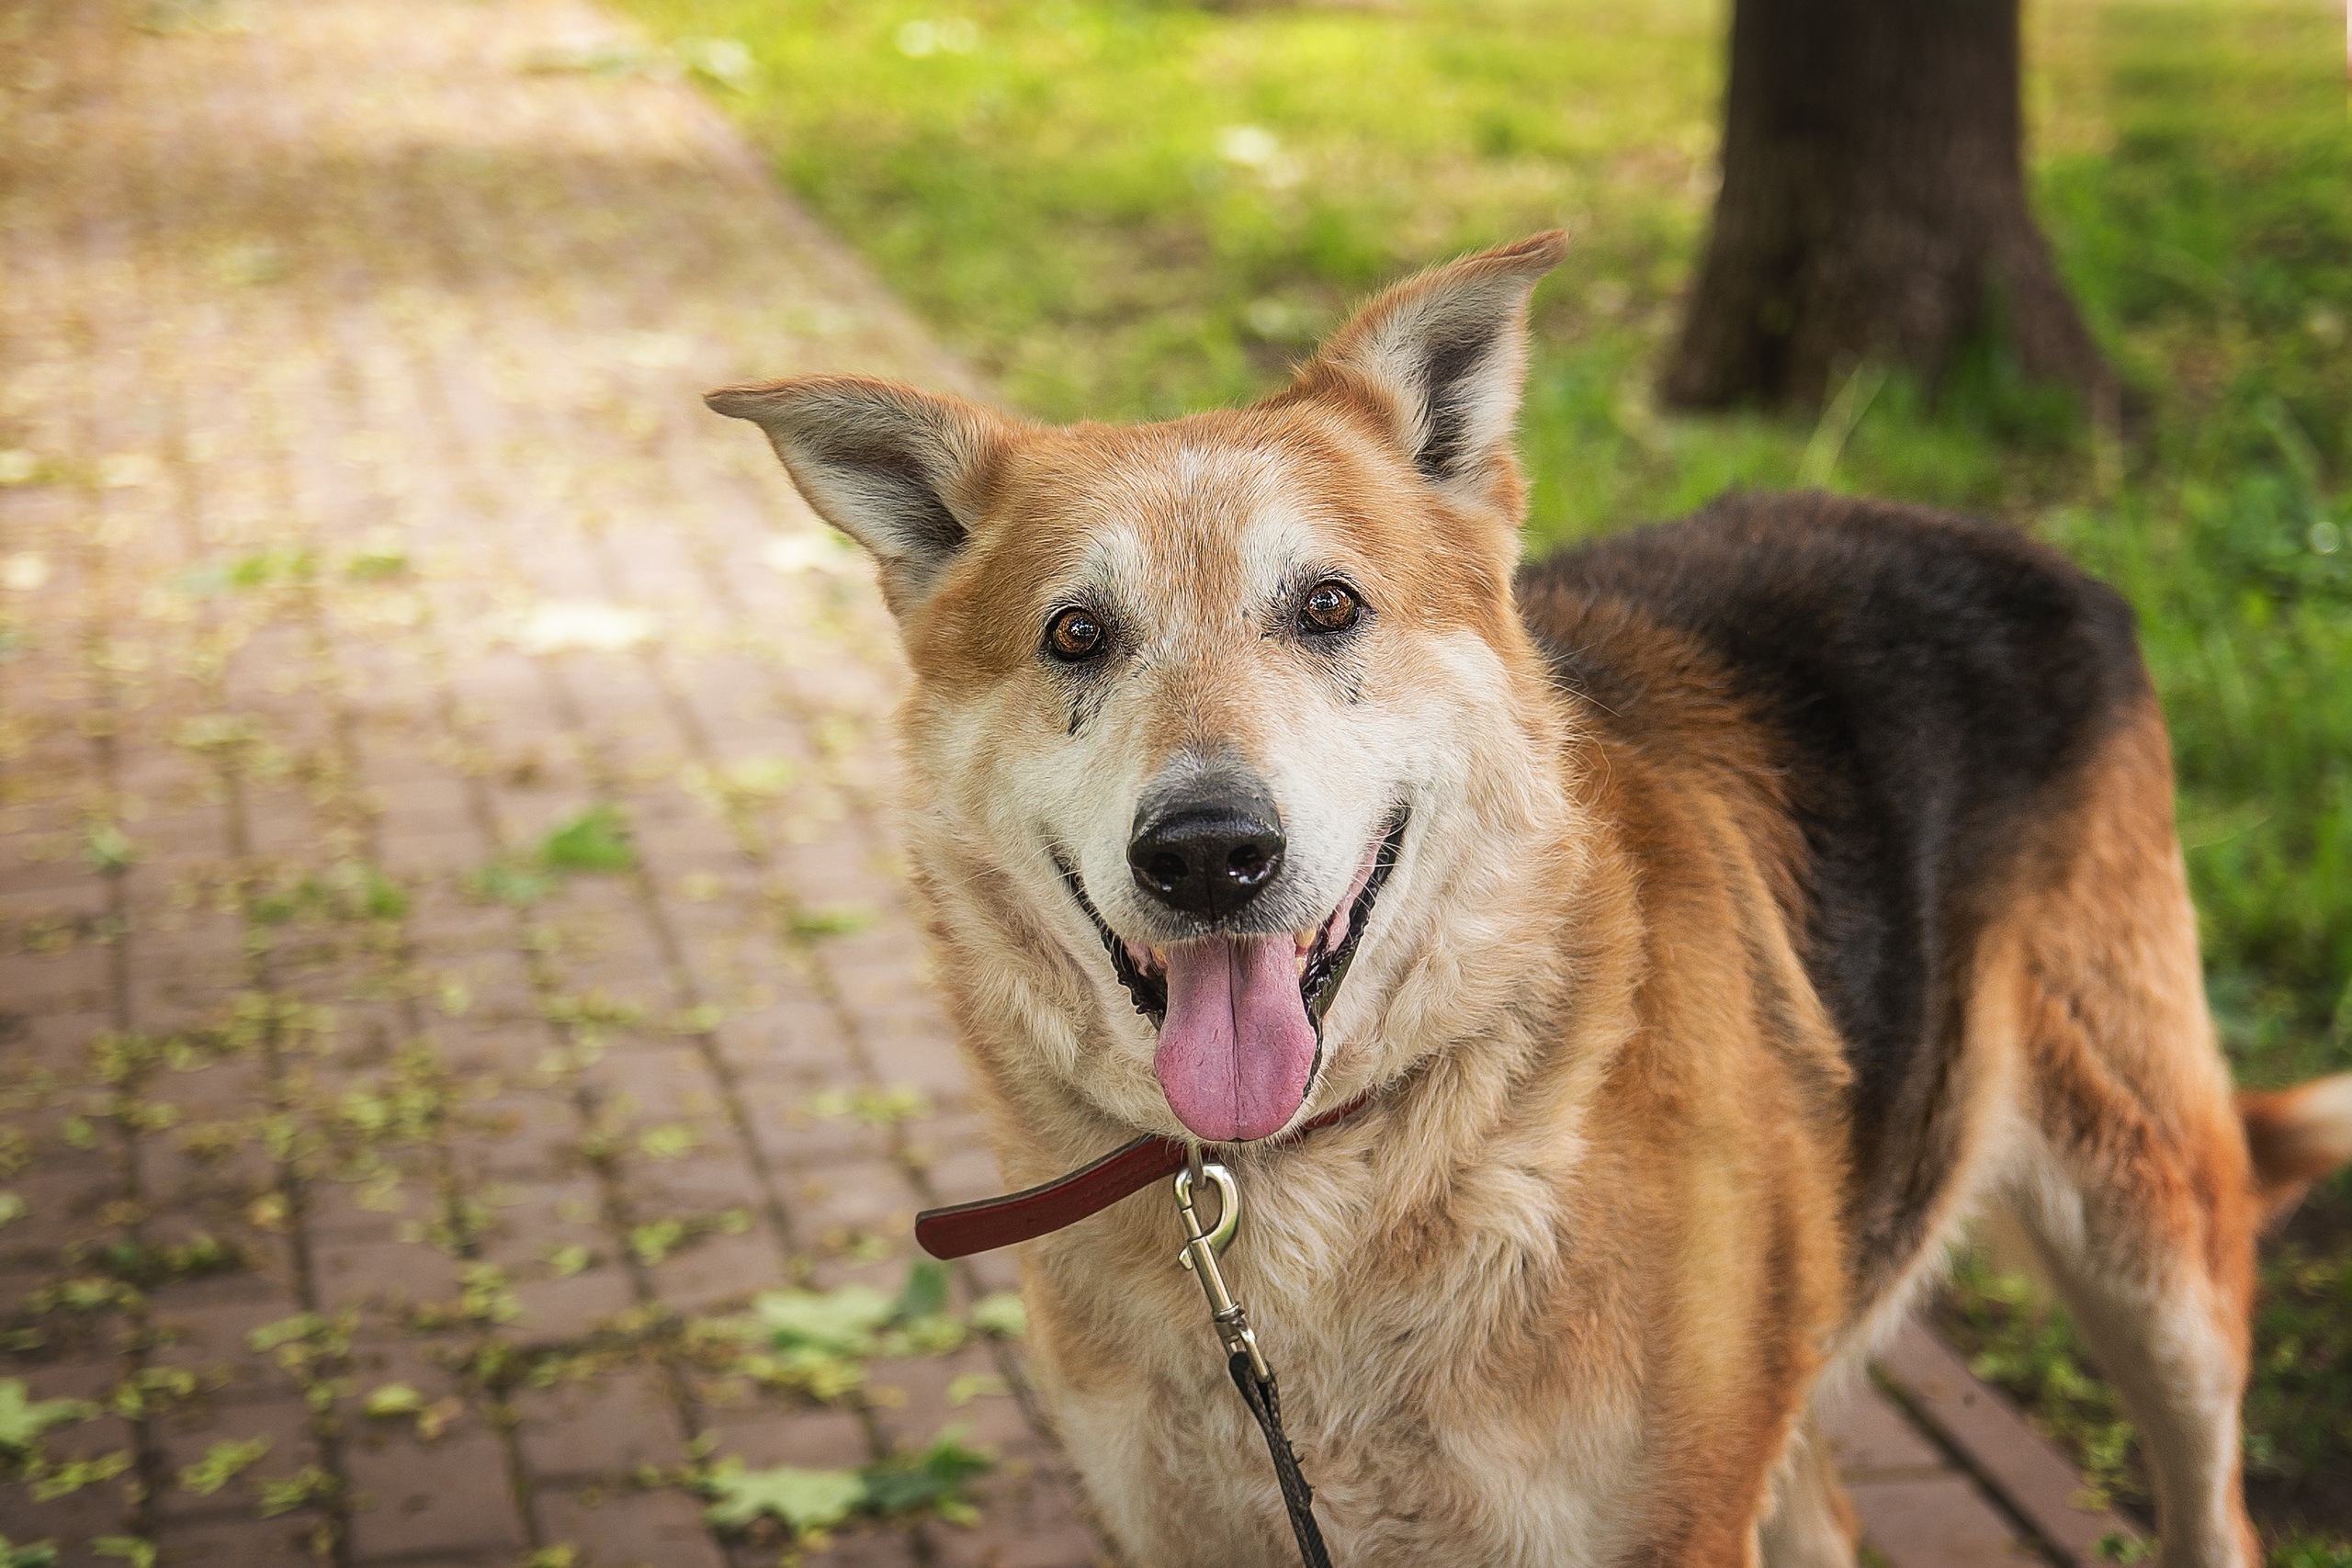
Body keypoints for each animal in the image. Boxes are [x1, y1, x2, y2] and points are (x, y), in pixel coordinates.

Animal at [710, 236, 2352, 1568]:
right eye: (1074, 634)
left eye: (1326, 606)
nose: (1208, 853)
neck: (1314, 1186)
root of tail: (2006, 533)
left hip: (2155, 1258)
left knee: (2215, 1507)